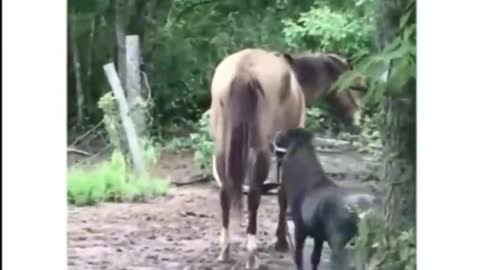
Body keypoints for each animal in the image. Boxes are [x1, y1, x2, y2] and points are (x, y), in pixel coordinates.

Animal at [207, 48, 364, 268]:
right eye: (352, 85)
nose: (358, 118)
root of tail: (243, 71)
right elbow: (282, 193)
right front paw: (281, 239)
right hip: (260, 150)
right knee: (254, 194)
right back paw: (252, 254)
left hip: (222, 146)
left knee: (225, 192)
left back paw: (225, 249)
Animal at [272, 129, 376, 270]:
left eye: (283, 139)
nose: (276, 134)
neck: (309, 184)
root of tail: (364, 214)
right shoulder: (318, 237)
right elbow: (314, 259)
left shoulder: (300, 231)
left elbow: (299, 257)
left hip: (342, 248)